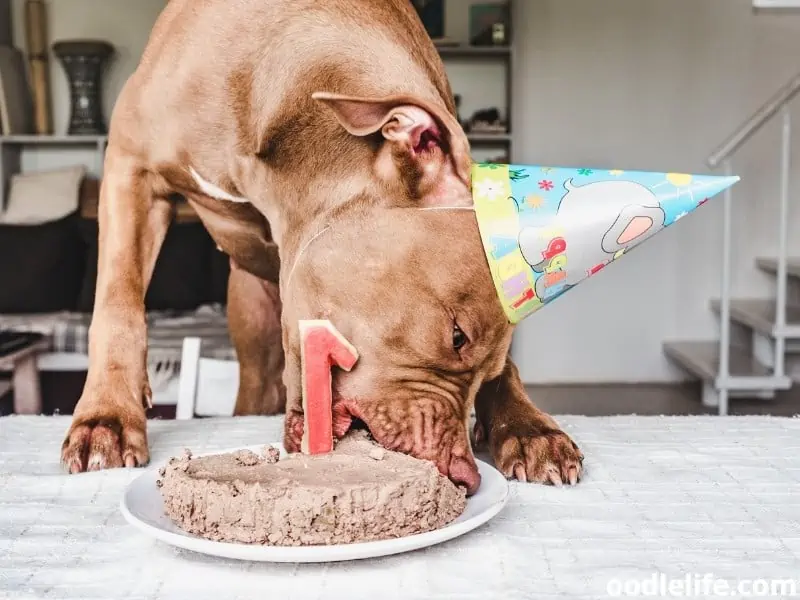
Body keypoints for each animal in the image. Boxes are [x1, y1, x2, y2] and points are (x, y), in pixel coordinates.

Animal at [61, 0, 580, 492]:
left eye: (485, 372)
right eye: (457, 336)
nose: (463, 477)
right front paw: (106, 417)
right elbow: (118, 305)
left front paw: (526, 429)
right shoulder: (131, 167)